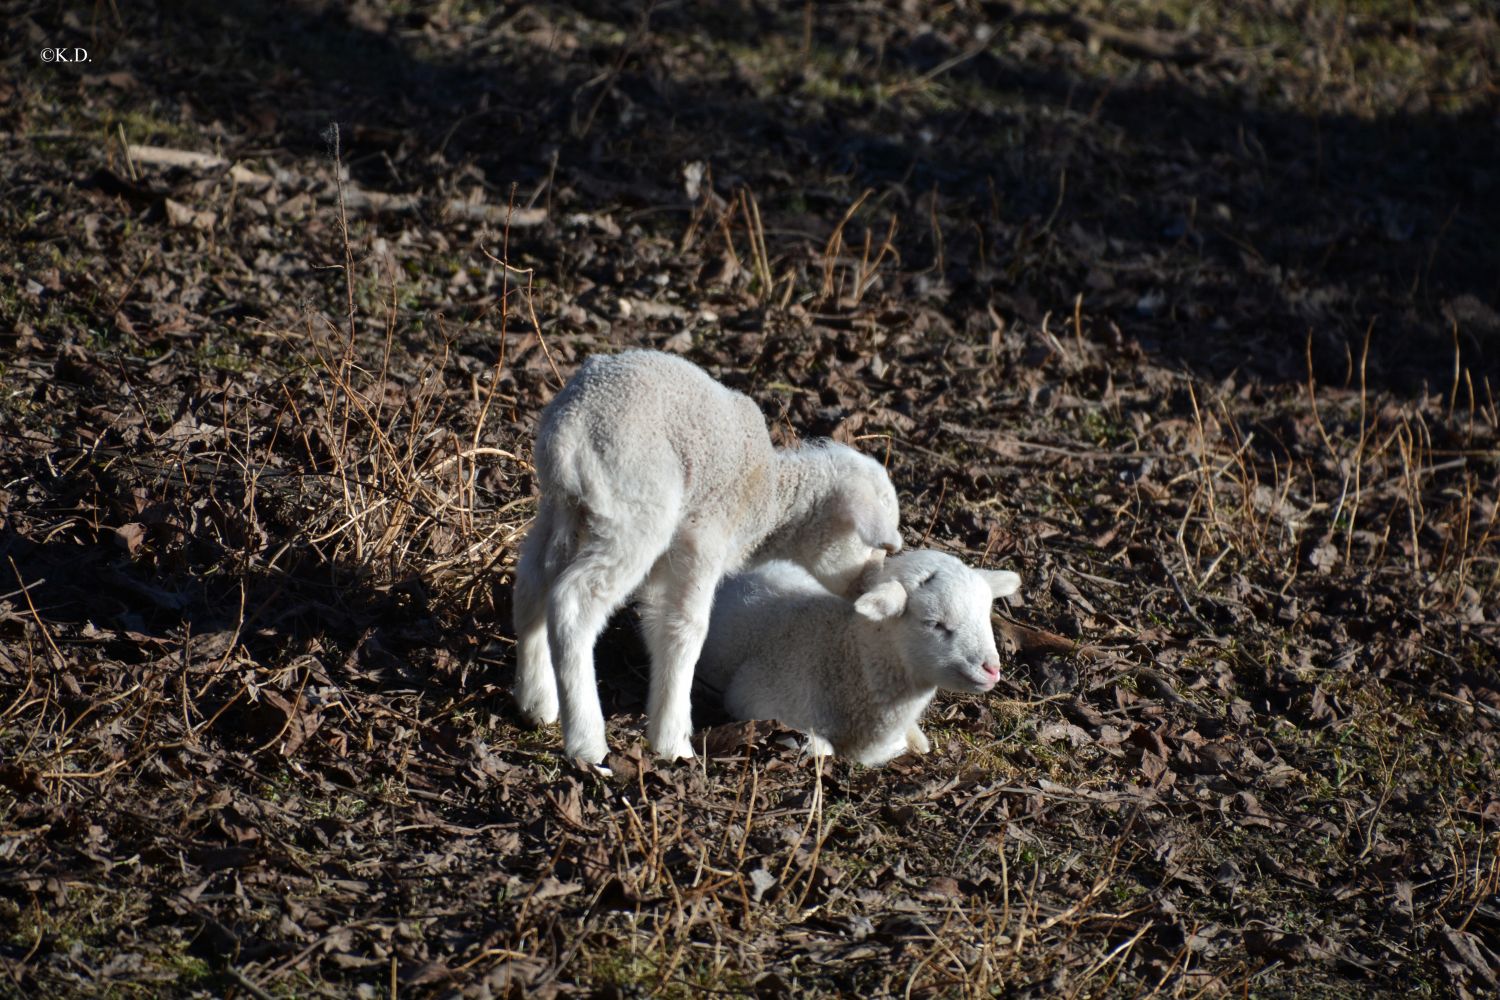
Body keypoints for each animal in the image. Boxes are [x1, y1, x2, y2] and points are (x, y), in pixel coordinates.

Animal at [513, 352, 900, 767]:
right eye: (877, 547)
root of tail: (569, 432)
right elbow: (688, 629)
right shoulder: (704, 537)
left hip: (562, 509)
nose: (871, 590)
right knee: (574, 602)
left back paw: (535, 702)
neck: (766, 501)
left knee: (532, 583)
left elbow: (658, 625)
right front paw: (673, 743)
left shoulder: (665, 567)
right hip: (635, 508)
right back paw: (587, 742)